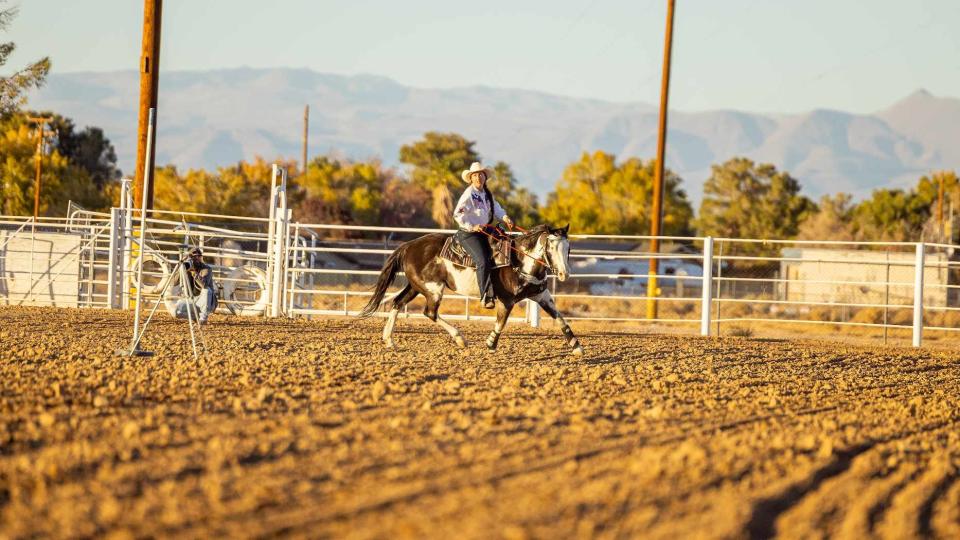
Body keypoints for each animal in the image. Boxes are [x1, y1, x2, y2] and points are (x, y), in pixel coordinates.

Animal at [360, 224, 584, 354]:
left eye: (568, 248)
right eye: (551, 247)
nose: (564, 274)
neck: (519, 261)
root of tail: (408, 246)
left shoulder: (542, 296)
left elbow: (560, 318)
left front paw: (576, 346)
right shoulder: (507, 300)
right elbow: (501, 323)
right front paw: (491, 344)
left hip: (416, 286)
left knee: (397, 303)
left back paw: (389, 341)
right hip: (433, 289)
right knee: (430, 312)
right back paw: (460, 339)